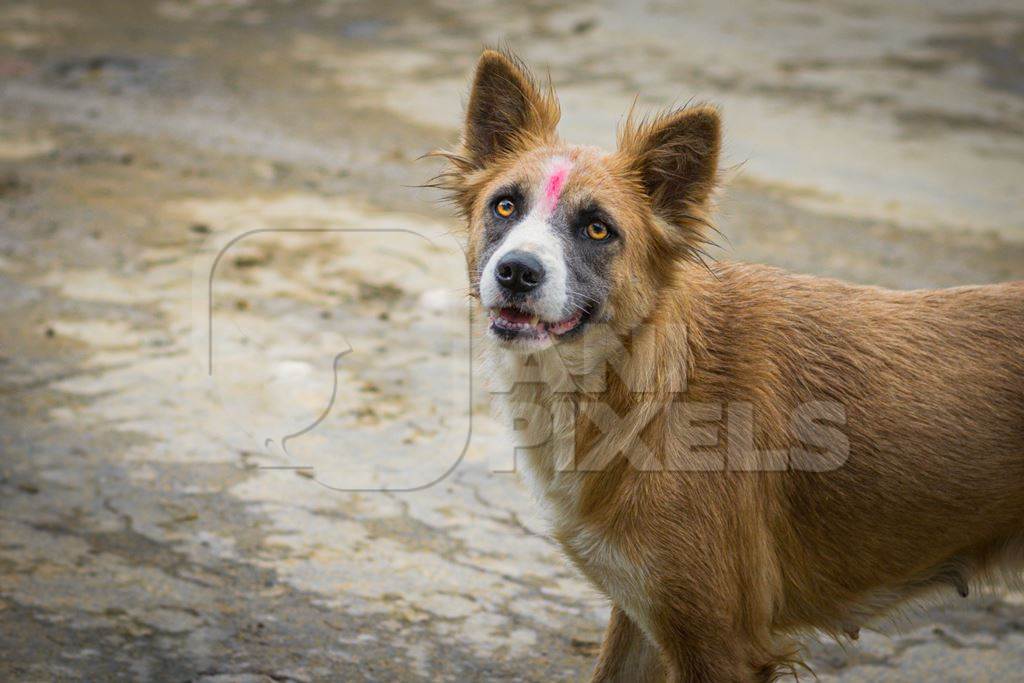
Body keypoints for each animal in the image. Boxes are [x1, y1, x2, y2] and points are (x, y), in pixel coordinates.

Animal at [430, 50, 1024, 679]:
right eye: (505, 205)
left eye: (597, 229)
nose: (517, 271)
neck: (651, 386)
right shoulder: (647, 614)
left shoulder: (721, 641)